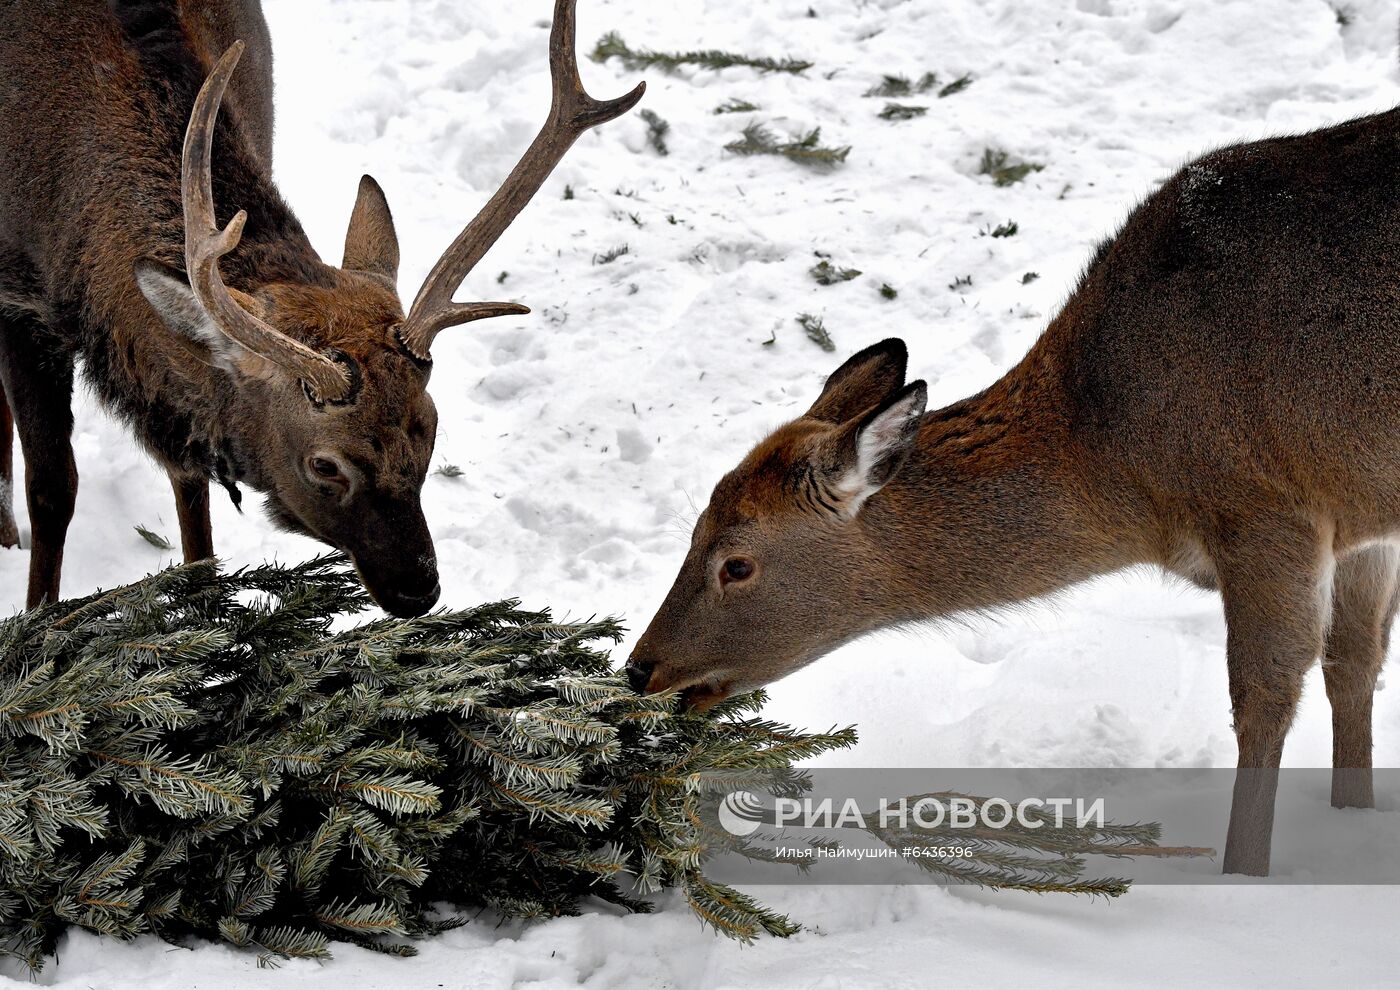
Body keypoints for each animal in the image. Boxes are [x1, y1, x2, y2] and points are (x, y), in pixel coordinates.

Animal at [0, 0, 644, 616]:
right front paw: (36, 620)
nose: (418, 589)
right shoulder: (18, 302)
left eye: (431, 428)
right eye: (324, 465)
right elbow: (53, 489)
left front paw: (202, 607)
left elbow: (191, 485)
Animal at [630, 108, 1400, 873]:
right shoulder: (1357, 522)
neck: (1127, 469)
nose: (641, 668)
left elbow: (1264, 695)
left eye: (736, 564)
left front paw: (1245, 872)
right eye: (693, 529)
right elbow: (1355, 662)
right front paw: (1353, 817)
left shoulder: (1266, 506)